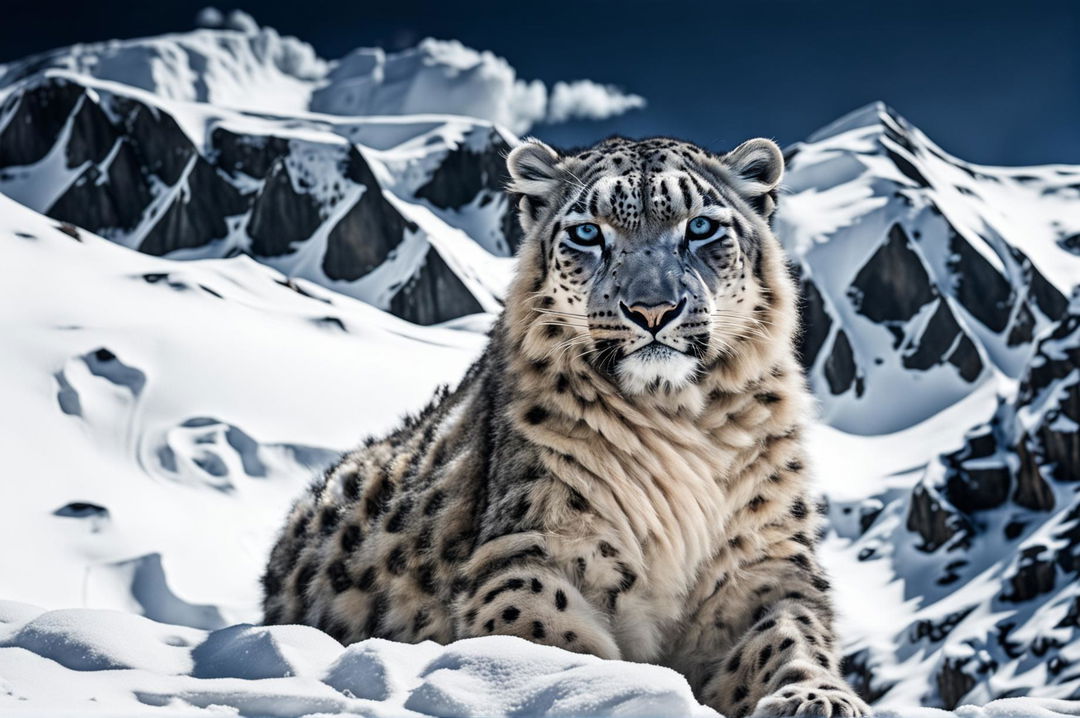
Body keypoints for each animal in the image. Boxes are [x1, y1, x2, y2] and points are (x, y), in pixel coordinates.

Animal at [265, 136, 872, 716]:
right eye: (587, 232)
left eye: (700, 226)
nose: (653, 309)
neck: (679, 417)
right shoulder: (536, 546)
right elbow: (544, 628)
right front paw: (608, 689)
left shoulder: (765, 560)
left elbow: (789, 636)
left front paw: (815, 699)